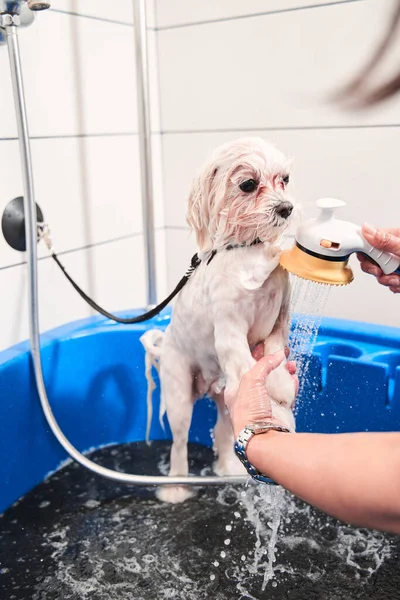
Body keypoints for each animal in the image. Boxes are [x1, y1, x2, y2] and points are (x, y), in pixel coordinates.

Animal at [141, 138, 296, 504]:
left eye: (284, 179)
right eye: (248, 184)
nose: (286, 208)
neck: (247, 251)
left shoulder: (276, 324)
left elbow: (274, 355)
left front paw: (282, 388)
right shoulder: (230, 335)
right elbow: (249, 362)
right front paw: (277, 408)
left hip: (225, 395)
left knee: (222, 430)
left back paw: (228, 468)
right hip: (179, 394)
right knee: (179, 443)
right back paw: (176, 487)